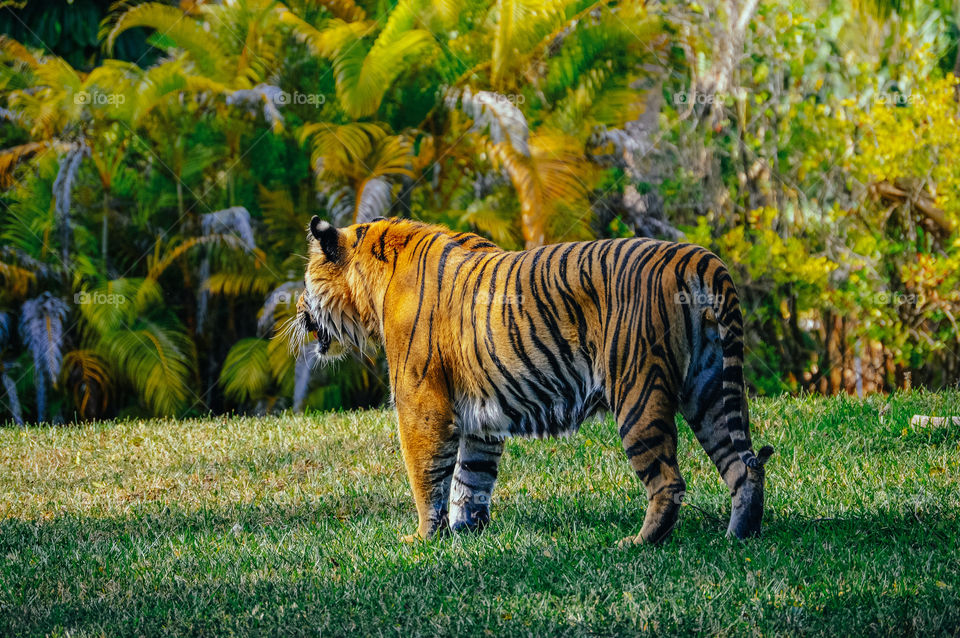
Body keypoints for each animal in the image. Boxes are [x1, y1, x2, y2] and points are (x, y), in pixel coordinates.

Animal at [294, 215, 773, 545]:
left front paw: (424, 538)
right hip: (710, 389)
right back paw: (739, 537)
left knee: (669, 481)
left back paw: (638, 543)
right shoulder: (481, 414)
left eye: (306, 281)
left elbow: (427, 474)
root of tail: (695, 256)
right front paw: (467, 532)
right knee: (741, 466)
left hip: (637, 392)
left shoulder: (421, 403)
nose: (296, 306)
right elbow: (472, 478)